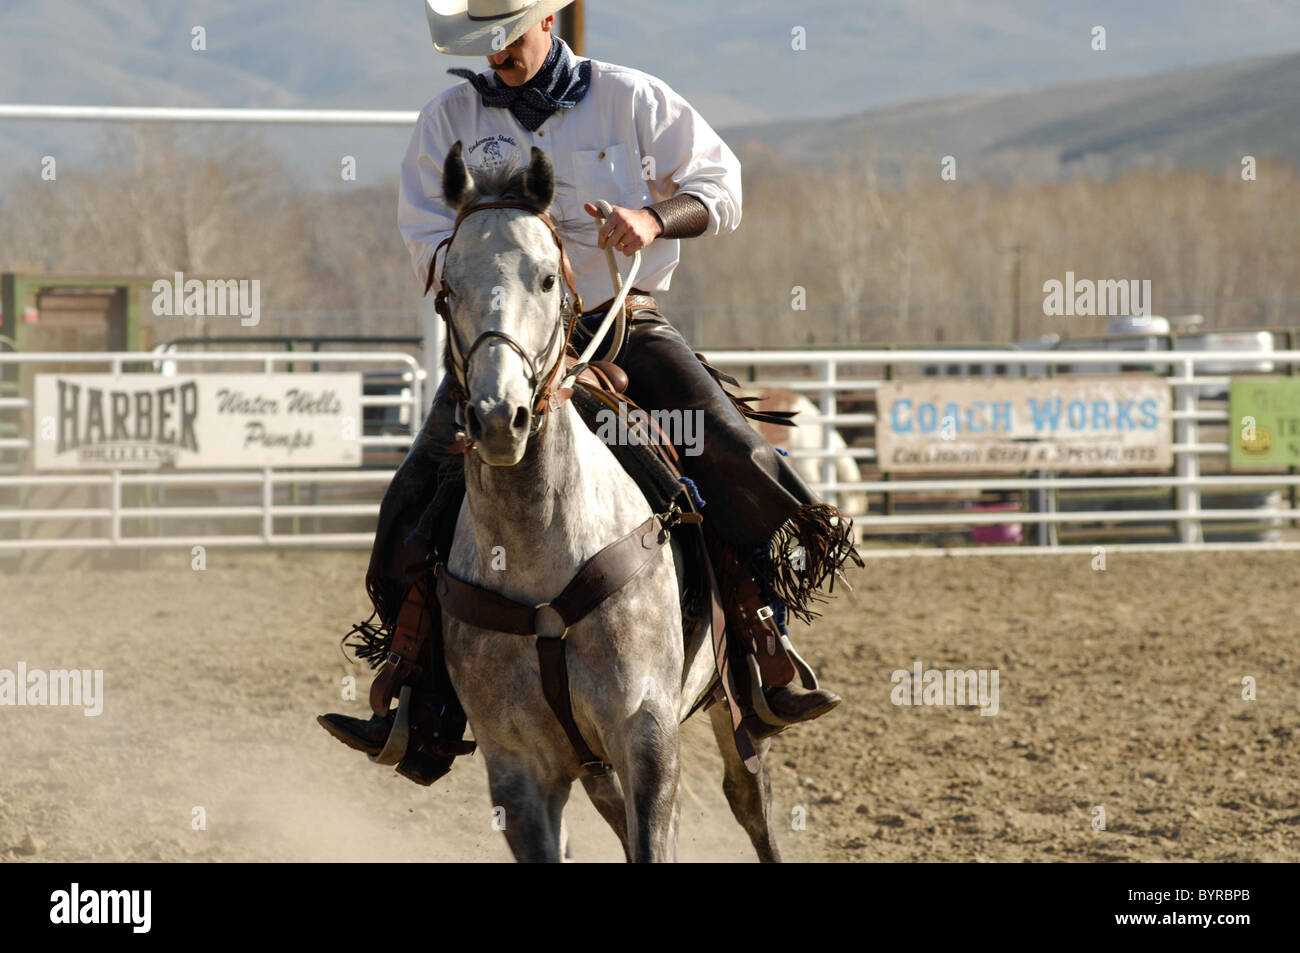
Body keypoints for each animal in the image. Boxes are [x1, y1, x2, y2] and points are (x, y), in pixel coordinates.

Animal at [433, 141, 781, 862]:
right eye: (448, 289)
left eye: (545, 278)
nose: (498, 417)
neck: (539, 561)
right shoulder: (517, 772)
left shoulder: (646, 737)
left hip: (730, 703)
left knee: (750, 798)